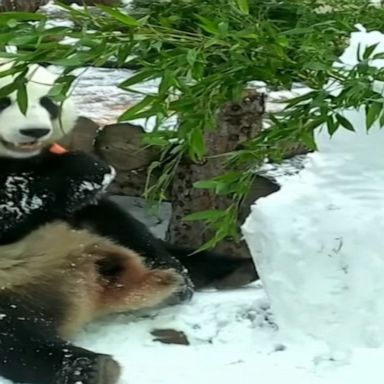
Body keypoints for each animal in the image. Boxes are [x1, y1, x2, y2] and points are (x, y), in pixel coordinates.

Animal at [0, 63, 260, 384]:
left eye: (48, 102)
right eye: (4, 101)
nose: (34, 131)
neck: (15, 160)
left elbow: (112, 217)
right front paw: (82, 168)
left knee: (164, 249)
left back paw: (228, 271)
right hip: (10, 290)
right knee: (13, 338)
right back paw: (87, 367)